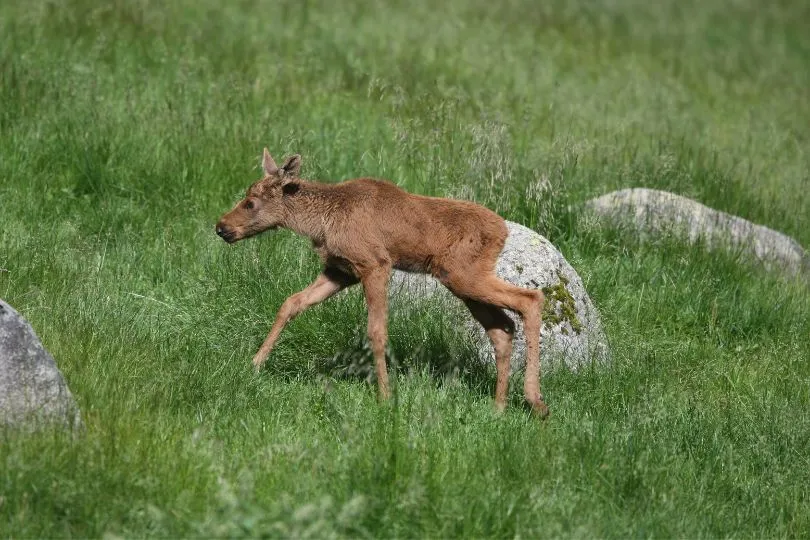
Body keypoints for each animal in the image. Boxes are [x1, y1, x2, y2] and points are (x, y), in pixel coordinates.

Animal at [215, 148, 548, 418]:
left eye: (250, 203)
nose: (221, 227)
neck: (321, 223)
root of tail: (503, 231)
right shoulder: (340, 271)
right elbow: (291, 302)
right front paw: (255, 363)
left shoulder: (375, 264)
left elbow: (376, 331)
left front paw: (385, 396)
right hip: (463, 282)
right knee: (502, 328)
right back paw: (499, 406)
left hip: (464, 274)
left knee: (530, 299)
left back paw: (534, 401)